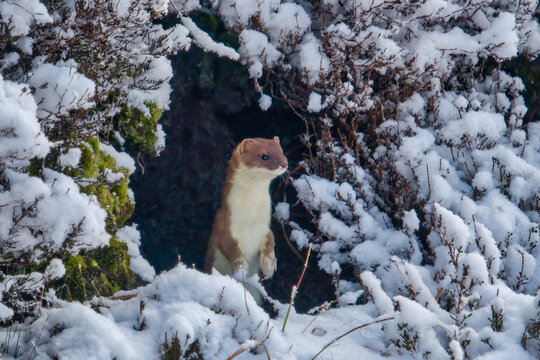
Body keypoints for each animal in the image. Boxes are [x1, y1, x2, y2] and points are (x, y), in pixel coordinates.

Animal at [204, 136, 286, 284]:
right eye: (264, 156)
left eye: (281, 151)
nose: (284, 163)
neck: (251, 216)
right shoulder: (225, 223)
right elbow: (231, 247)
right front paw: (241, 267)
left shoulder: (264, 224)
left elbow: (271, 238)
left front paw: (269, 264)